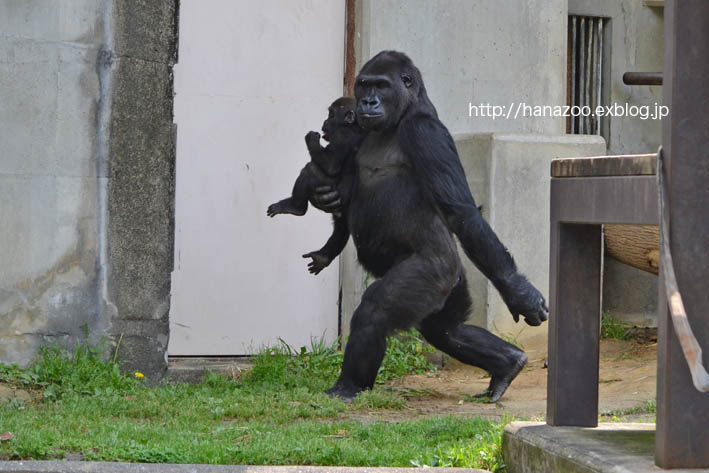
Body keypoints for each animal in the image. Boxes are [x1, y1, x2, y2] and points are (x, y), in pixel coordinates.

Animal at [266, 96, 366, 272]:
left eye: (331, 114)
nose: (325, 120)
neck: (353, 125)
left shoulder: (342, 135)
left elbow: (331, 165)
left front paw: (312, 138)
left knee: (310, 170)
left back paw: (295, 207)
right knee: (341, 229)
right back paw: (323, 257)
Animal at [312, 50, 548, 402]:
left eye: (382, 86)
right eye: (364, 84)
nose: (368, 102)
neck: (405, 113)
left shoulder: (425, 132)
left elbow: (462, 212)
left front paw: (518, 291)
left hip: (435, 271)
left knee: (377, 310)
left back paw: (347, 387)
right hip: (452, 280)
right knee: (445, 330)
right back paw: (508, 363)